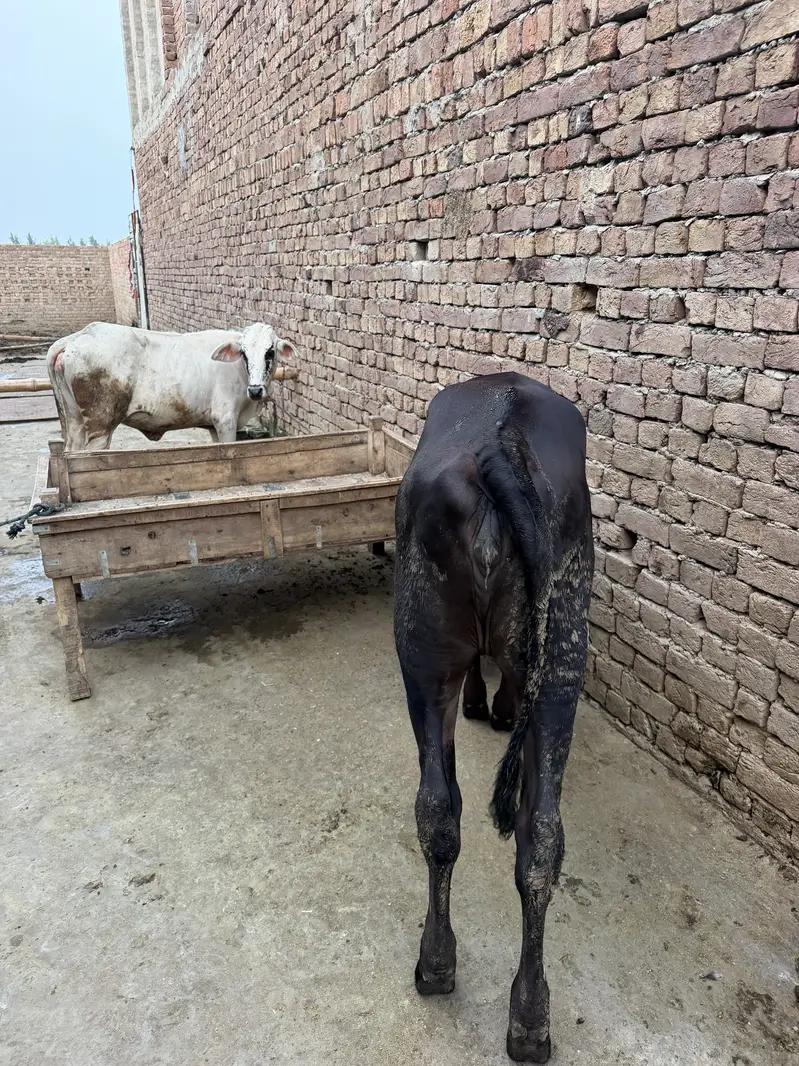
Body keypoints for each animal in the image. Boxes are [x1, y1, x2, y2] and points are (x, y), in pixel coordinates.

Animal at [47, 321, 295, 451]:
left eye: (270, 351)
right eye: (243, 353)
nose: (255, 390)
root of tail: (79, 335)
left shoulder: (213, 426)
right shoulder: (225, 420)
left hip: (75, 421)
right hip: (100, 426)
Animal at [393, 372, 593, 1063]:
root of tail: (497, 445)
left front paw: (490, 706)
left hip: (425, 654)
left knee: (439, 808)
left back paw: (438, 964)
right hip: (557, 661)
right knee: (534, 837)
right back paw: (528, 1016)